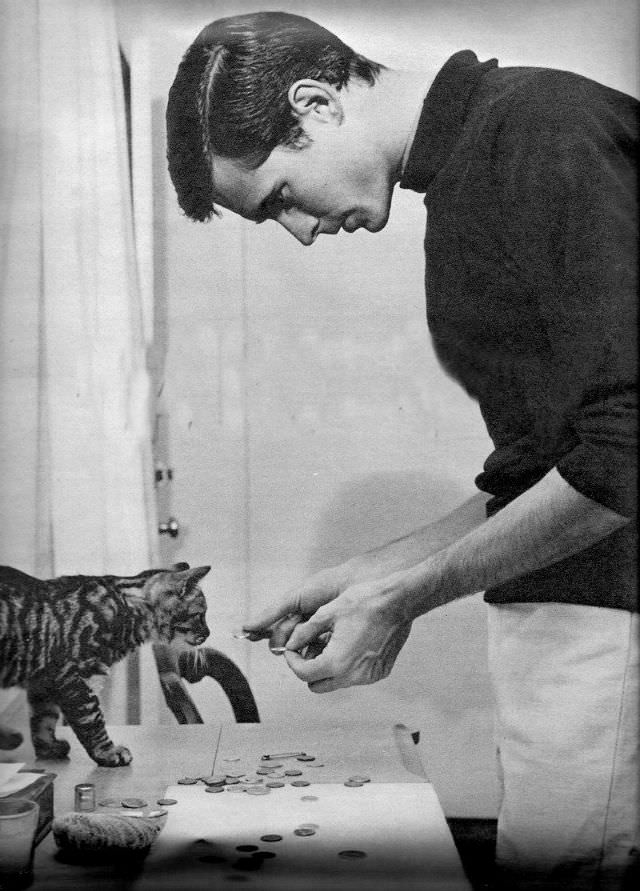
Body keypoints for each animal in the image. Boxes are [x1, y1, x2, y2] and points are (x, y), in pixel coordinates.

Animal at [0, 564, 210, 768]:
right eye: (199, 614)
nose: (208, 633)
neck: (123, 609)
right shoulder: (75, 678)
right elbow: (92, 720)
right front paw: (107, 752)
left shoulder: (42, 681)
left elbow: (44, 720)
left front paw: (48, 748)